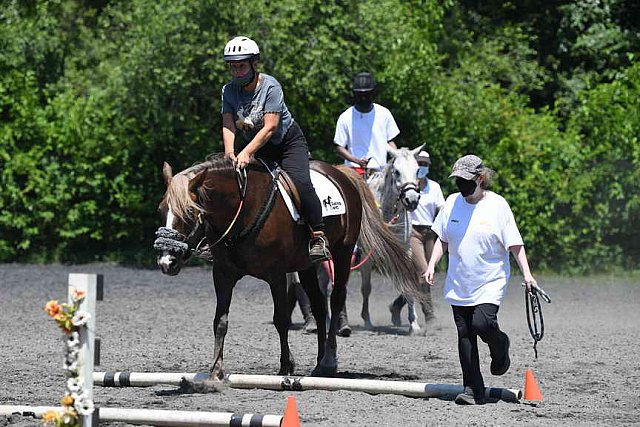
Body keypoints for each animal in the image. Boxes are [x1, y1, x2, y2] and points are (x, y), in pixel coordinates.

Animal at [155, 155, 420, 390]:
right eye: (161, 210)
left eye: (189, 213)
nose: (167, 261)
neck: (243, 208)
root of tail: (340, 173)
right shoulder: (223, 275)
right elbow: (220, 321)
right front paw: (215, 372)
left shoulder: (276, 275)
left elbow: (280, 319)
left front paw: (286, 367)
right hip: (307, 265)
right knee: (319, 306)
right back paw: (319, 363)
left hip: (343, 253)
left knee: (335, 300)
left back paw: (328, 361)